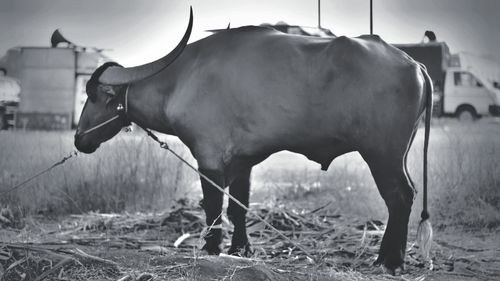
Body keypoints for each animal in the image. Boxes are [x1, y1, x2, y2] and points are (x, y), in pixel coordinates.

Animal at [75, 8, 434, 272]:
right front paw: (240, 248)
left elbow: (213, 207)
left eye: (93, 96)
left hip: (382, 154)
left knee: (399, 197)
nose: (79, 140)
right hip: (398, 154)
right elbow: (238, 206)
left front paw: (212, 247)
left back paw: (390, 261)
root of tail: (414, 63)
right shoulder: (241, 162)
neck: (181, 78)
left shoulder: (208, 158)